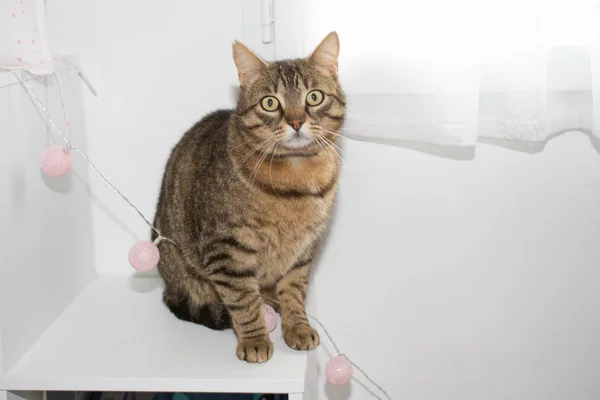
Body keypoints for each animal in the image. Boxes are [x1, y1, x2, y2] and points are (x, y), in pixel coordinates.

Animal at [152, 32, 344, 362]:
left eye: (314, 97)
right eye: (270, 103)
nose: (296, 122)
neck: (297, 180)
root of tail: (168, 284)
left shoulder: (304, 250)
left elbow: (294, 290)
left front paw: (297, 326)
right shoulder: (228, 249)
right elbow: (243, 300)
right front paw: (254, 338)